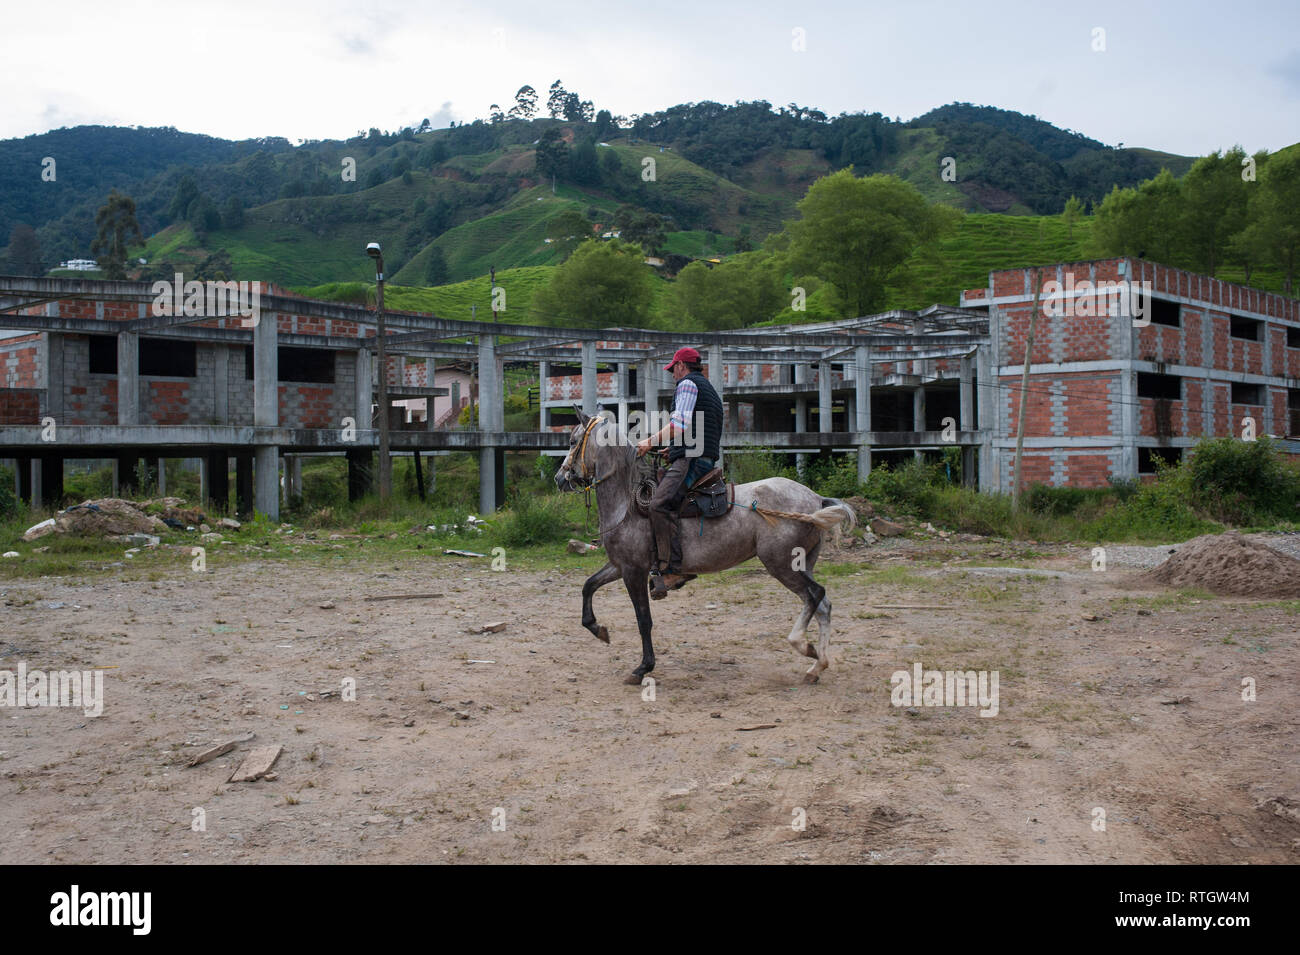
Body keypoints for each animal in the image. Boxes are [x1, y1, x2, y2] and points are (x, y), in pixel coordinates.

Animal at [553, 410, 857, 686]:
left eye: (572, 441)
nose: (559, 478)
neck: (627, 504)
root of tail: (815, 499)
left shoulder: (633, 571)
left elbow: (643, 619)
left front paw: (643, 667)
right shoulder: (619, 566)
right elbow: (588, 586)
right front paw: (598, 629)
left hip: (781, 564)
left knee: (815, 595)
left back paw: (803, 646)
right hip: (802, 564)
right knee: (822, 605)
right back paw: (816, 667)